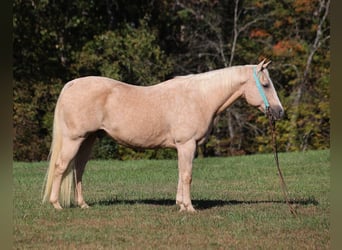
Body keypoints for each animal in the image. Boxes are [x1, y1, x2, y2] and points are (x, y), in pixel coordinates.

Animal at [42, 59, 284, 212]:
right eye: (265, 84)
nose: (279, 111)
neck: (200, 97)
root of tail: (71, 84)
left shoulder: (185, 147)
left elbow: (181, 173)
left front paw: (180, 204)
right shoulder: (187, 144)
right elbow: (187, 175)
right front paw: (189, 208)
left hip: (89, 139)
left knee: (78, 170)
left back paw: (83, 204)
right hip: (74, 139)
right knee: (61, 167)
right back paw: (56, 204)